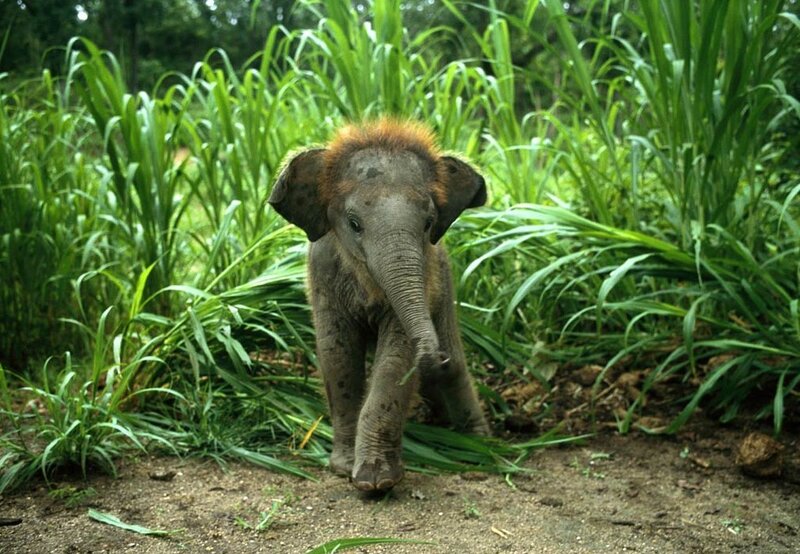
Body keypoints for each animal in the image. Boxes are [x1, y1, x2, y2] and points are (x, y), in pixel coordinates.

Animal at [268, 119, 490, 491]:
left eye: (428, 223)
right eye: (354, 224)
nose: (435, 356)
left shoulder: (426, 277)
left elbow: (395, 360)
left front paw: (376, 482)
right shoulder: (322, 274)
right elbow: (337, 355)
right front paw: (344, 469)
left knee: (456, 370)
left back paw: (479, 445)